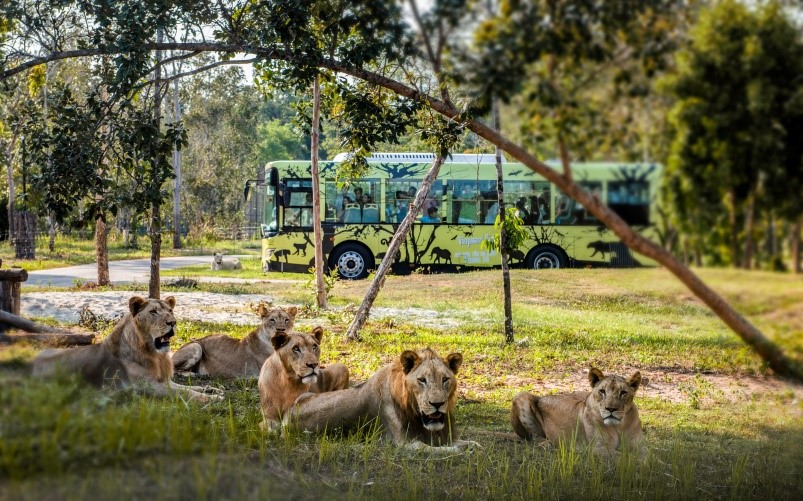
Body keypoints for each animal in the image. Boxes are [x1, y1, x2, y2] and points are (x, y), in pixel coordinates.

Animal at [31, 294, 221, 400]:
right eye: (153, 312)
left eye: (170, 311)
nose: (172, 322)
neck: (156, 355)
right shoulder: (147, 386)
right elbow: (185, 393)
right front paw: (212, 399)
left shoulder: (164, 381)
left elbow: (189, 388)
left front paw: (211, 389)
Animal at [282, 348, 478, 450]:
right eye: (422, 380)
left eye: (445, 379)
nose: (437, 404)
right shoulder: (405, 444)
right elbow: (446, 450)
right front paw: (464, 452)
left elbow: (468, 443)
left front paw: (474, 446)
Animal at [512, 366, 652, 456]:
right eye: (602, 391)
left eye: (623, 393)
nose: (611, 409)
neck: (619, 426)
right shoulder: (598, 448)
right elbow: (626, 457)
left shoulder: (639, 445)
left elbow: (649, 456)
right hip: (521, 395)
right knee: (533, 437)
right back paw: (547, 444)